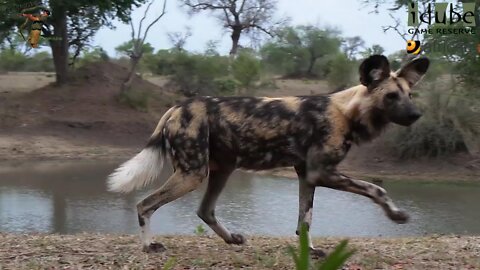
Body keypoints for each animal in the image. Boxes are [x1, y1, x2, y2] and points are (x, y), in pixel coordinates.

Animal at [109, 54, 432, 255]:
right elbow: (376, 188)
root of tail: (177, 107)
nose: (417, 115)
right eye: (391, 96)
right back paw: (149, 246)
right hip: (193, 174)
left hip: (220, 170)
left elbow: (305, 221)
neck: (346, 111)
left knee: (205, 210)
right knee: (145, 204)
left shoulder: (307, 176)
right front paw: (396, 214)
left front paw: (309, 252)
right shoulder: (322, 173)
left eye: (410, 95)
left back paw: (231, 239)